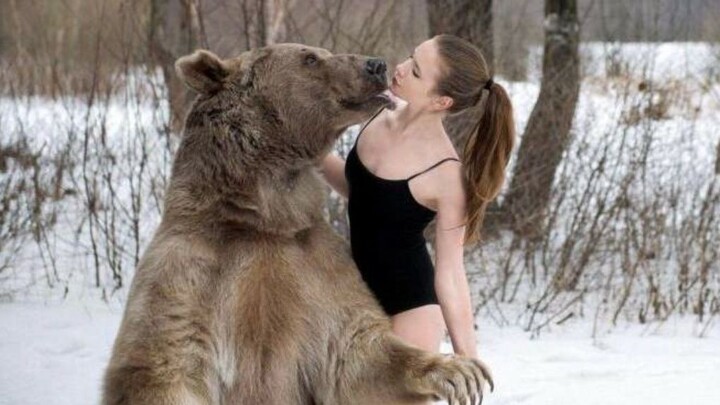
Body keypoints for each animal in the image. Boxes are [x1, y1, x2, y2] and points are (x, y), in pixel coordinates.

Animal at [102, 43, 493, 405]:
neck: (266, 214)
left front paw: (458, 369)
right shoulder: (192, 273)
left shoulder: (317, 272)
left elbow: (355, 351)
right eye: (310, 58)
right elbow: (163, 363)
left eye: (319, 53)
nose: (376, 64)